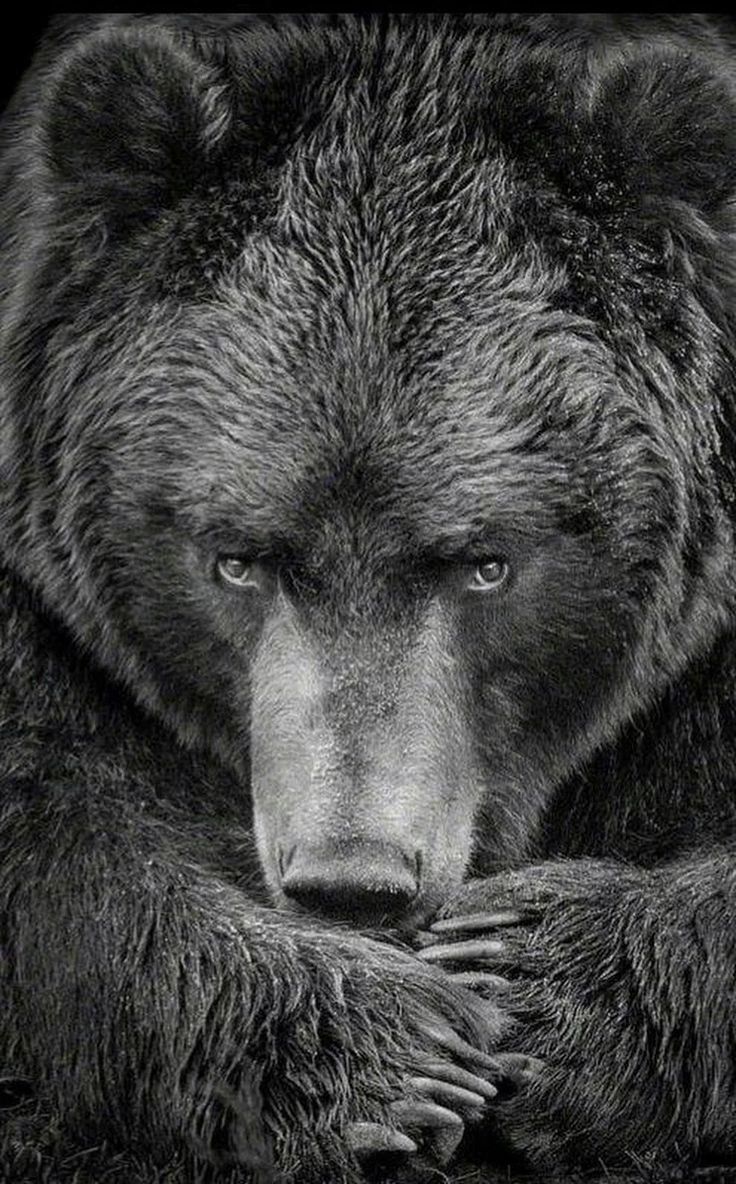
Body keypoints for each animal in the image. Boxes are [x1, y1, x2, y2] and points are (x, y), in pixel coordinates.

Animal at [2, 10, 736, 1184]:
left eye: (484, 560)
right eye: (238, 557)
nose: (355, 879)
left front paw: (535, 978)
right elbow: (54, 815)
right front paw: (389, 1050)